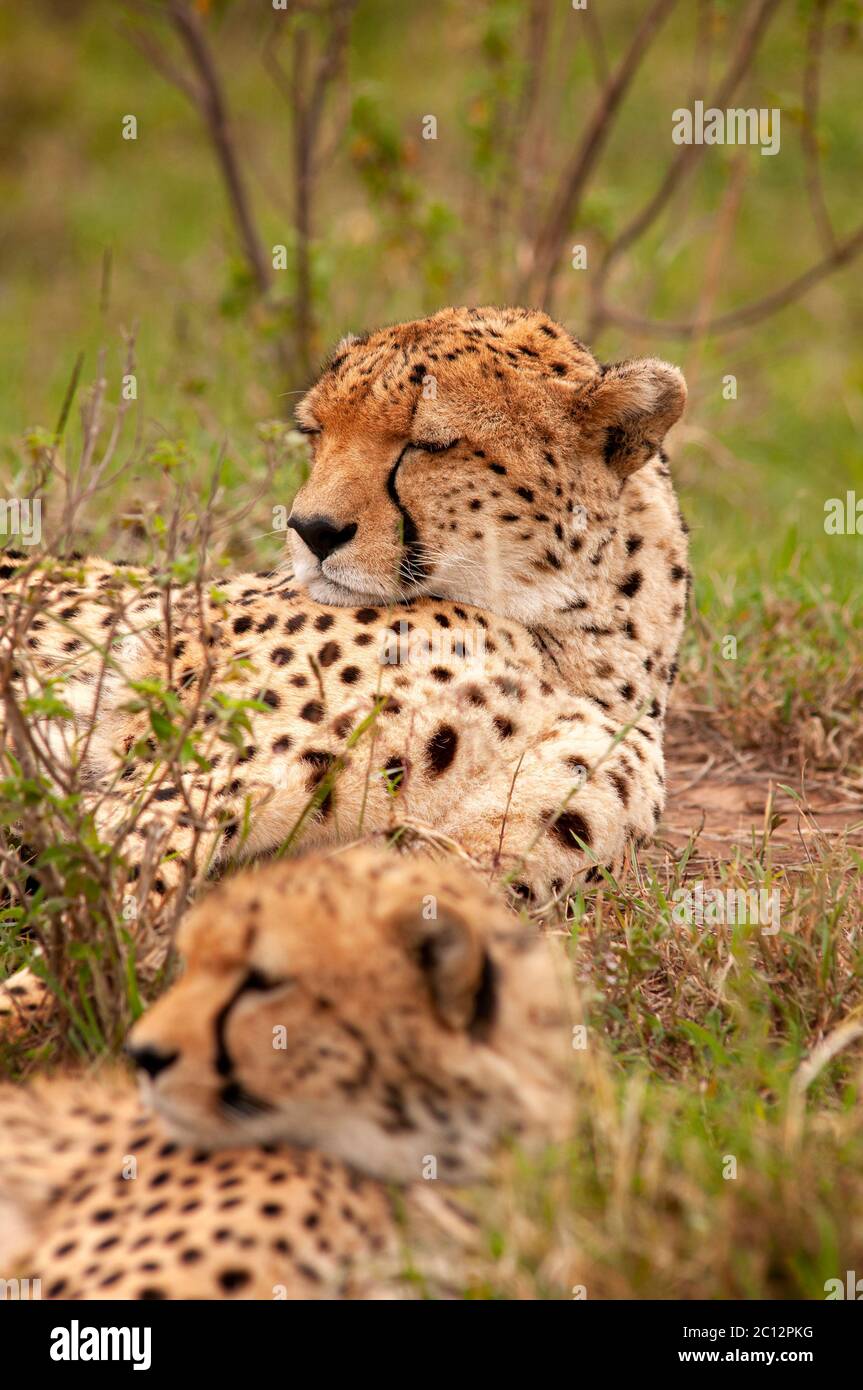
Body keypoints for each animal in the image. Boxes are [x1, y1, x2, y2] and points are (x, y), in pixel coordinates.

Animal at [0, 301, 686, 1023]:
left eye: (429, 444)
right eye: (315, 431)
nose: (312, 530)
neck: (575, 642)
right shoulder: (183, 772)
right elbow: (113, 901)